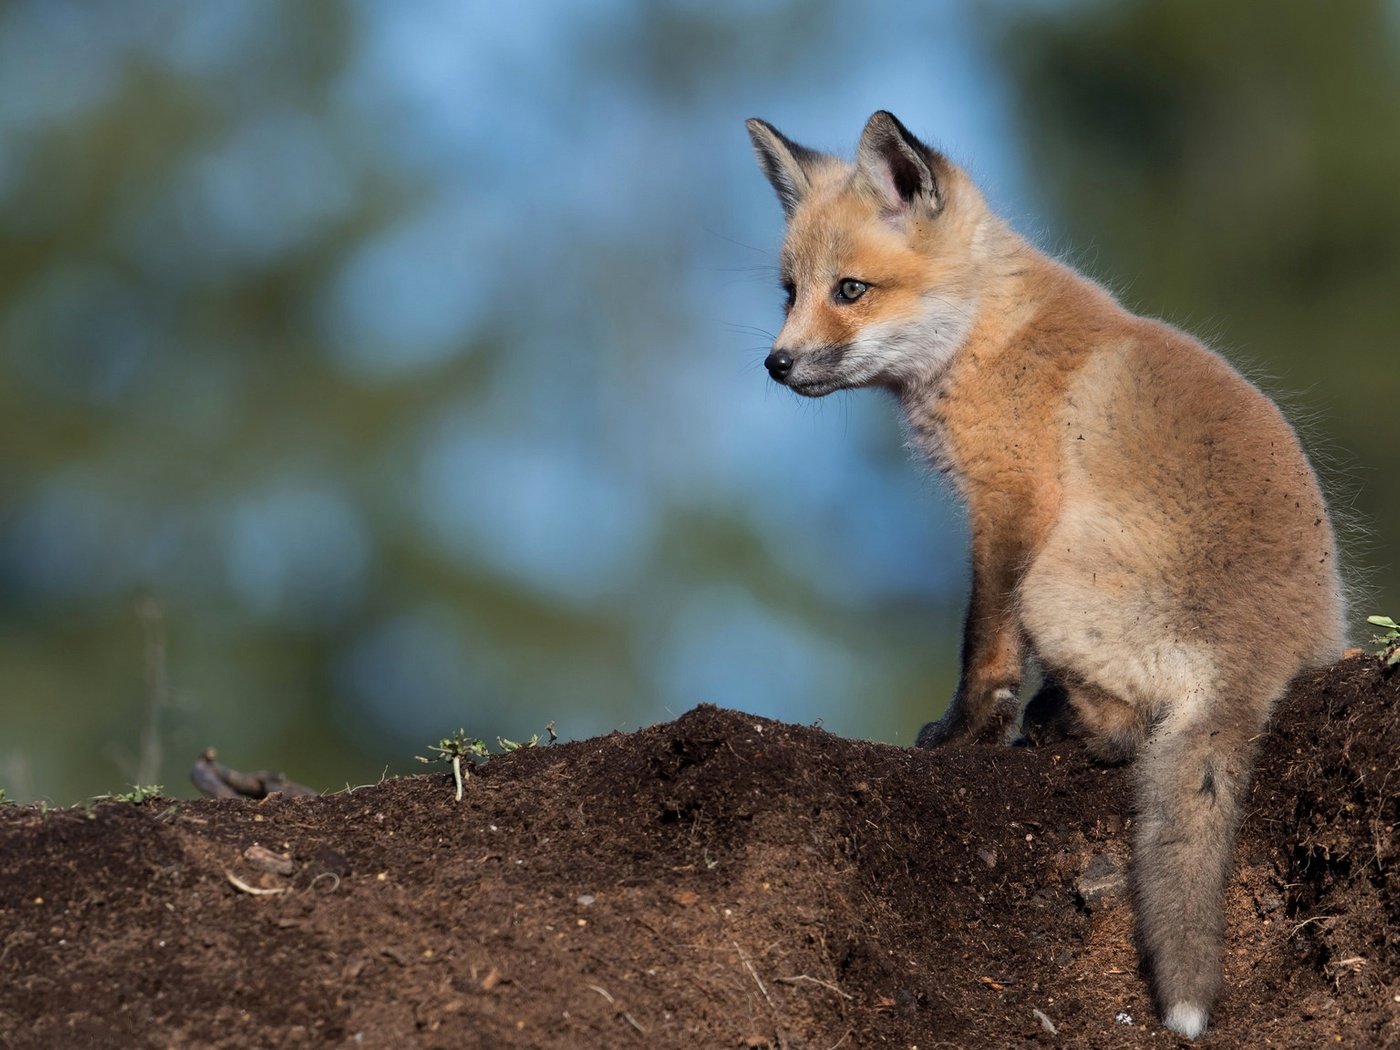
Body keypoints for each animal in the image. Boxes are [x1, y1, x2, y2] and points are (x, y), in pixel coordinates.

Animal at [744, 111, 1344, 1041]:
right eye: (788, 292)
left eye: (849, 290)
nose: (775, 363)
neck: (990, 335)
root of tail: (1261, 658)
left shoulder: (1010, 502)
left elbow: (982, 645)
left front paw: (965, 733)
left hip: (1055, 583)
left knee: (1130, 734)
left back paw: (1063, 724)